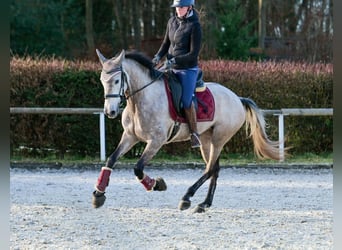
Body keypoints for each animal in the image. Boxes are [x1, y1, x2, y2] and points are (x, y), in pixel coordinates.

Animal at [92, 49, 282, 213]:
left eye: (117, 81)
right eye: (102, 81)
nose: (110, 112)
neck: (141, 100)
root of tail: (237, 98)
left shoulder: (156, 141)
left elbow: (138, 168)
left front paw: (157, 184)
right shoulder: (130, 137)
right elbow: (111, 160)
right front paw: (99, 193)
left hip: (219, 139)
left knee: (210, 169)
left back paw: (187, 197)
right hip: (206, 139)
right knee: (214, 169)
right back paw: (204, 204)